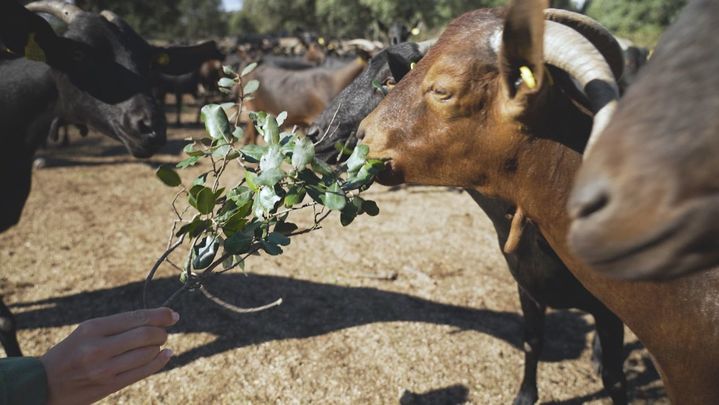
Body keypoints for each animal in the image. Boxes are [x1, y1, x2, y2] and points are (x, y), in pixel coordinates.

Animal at [309, 40, 627, 404]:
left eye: (388, 80)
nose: (315, 134)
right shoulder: (527, 287)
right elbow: (533, 342)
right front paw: (525, 395)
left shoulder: (608, 310)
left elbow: (615, 379)